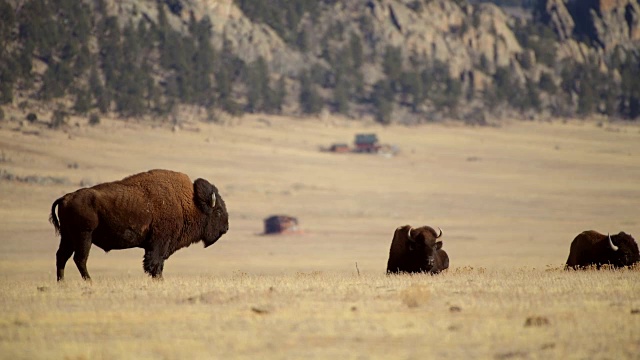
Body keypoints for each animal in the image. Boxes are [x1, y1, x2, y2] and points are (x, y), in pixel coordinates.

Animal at [50, 169, 230, 282]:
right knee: (79, 259)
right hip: (84, 236)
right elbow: (155, 263)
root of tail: (65, 198)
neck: (189, 203)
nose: (226, 228)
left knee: (62, 257)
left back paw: (62, 282)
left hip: (68, 237)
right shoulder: (159, 243)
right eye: (218, 211)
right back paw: (89, 282)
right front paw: (159, 280)